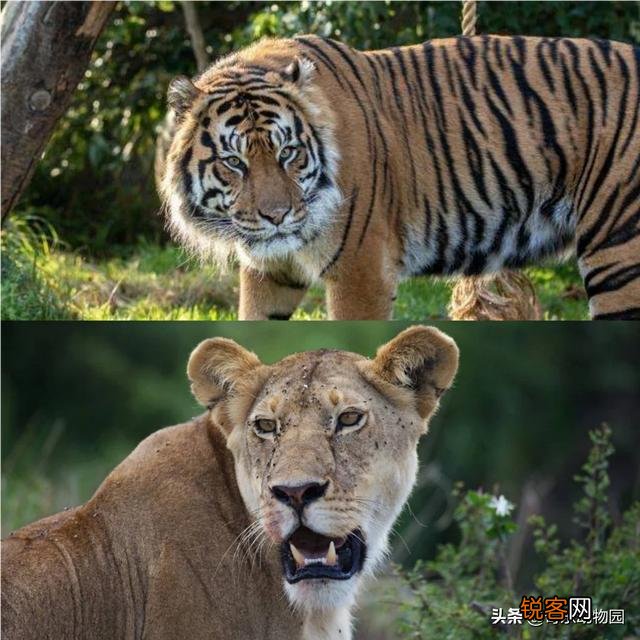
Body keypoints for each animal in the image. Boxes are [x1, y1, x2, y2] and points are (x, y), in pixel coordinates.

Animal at [160, 34, 640, 320]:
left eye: (288, 153)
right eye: (234, 162)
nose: (277, 217)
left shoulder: (360, 271)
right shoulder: (271, 272)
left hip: (619, 250)